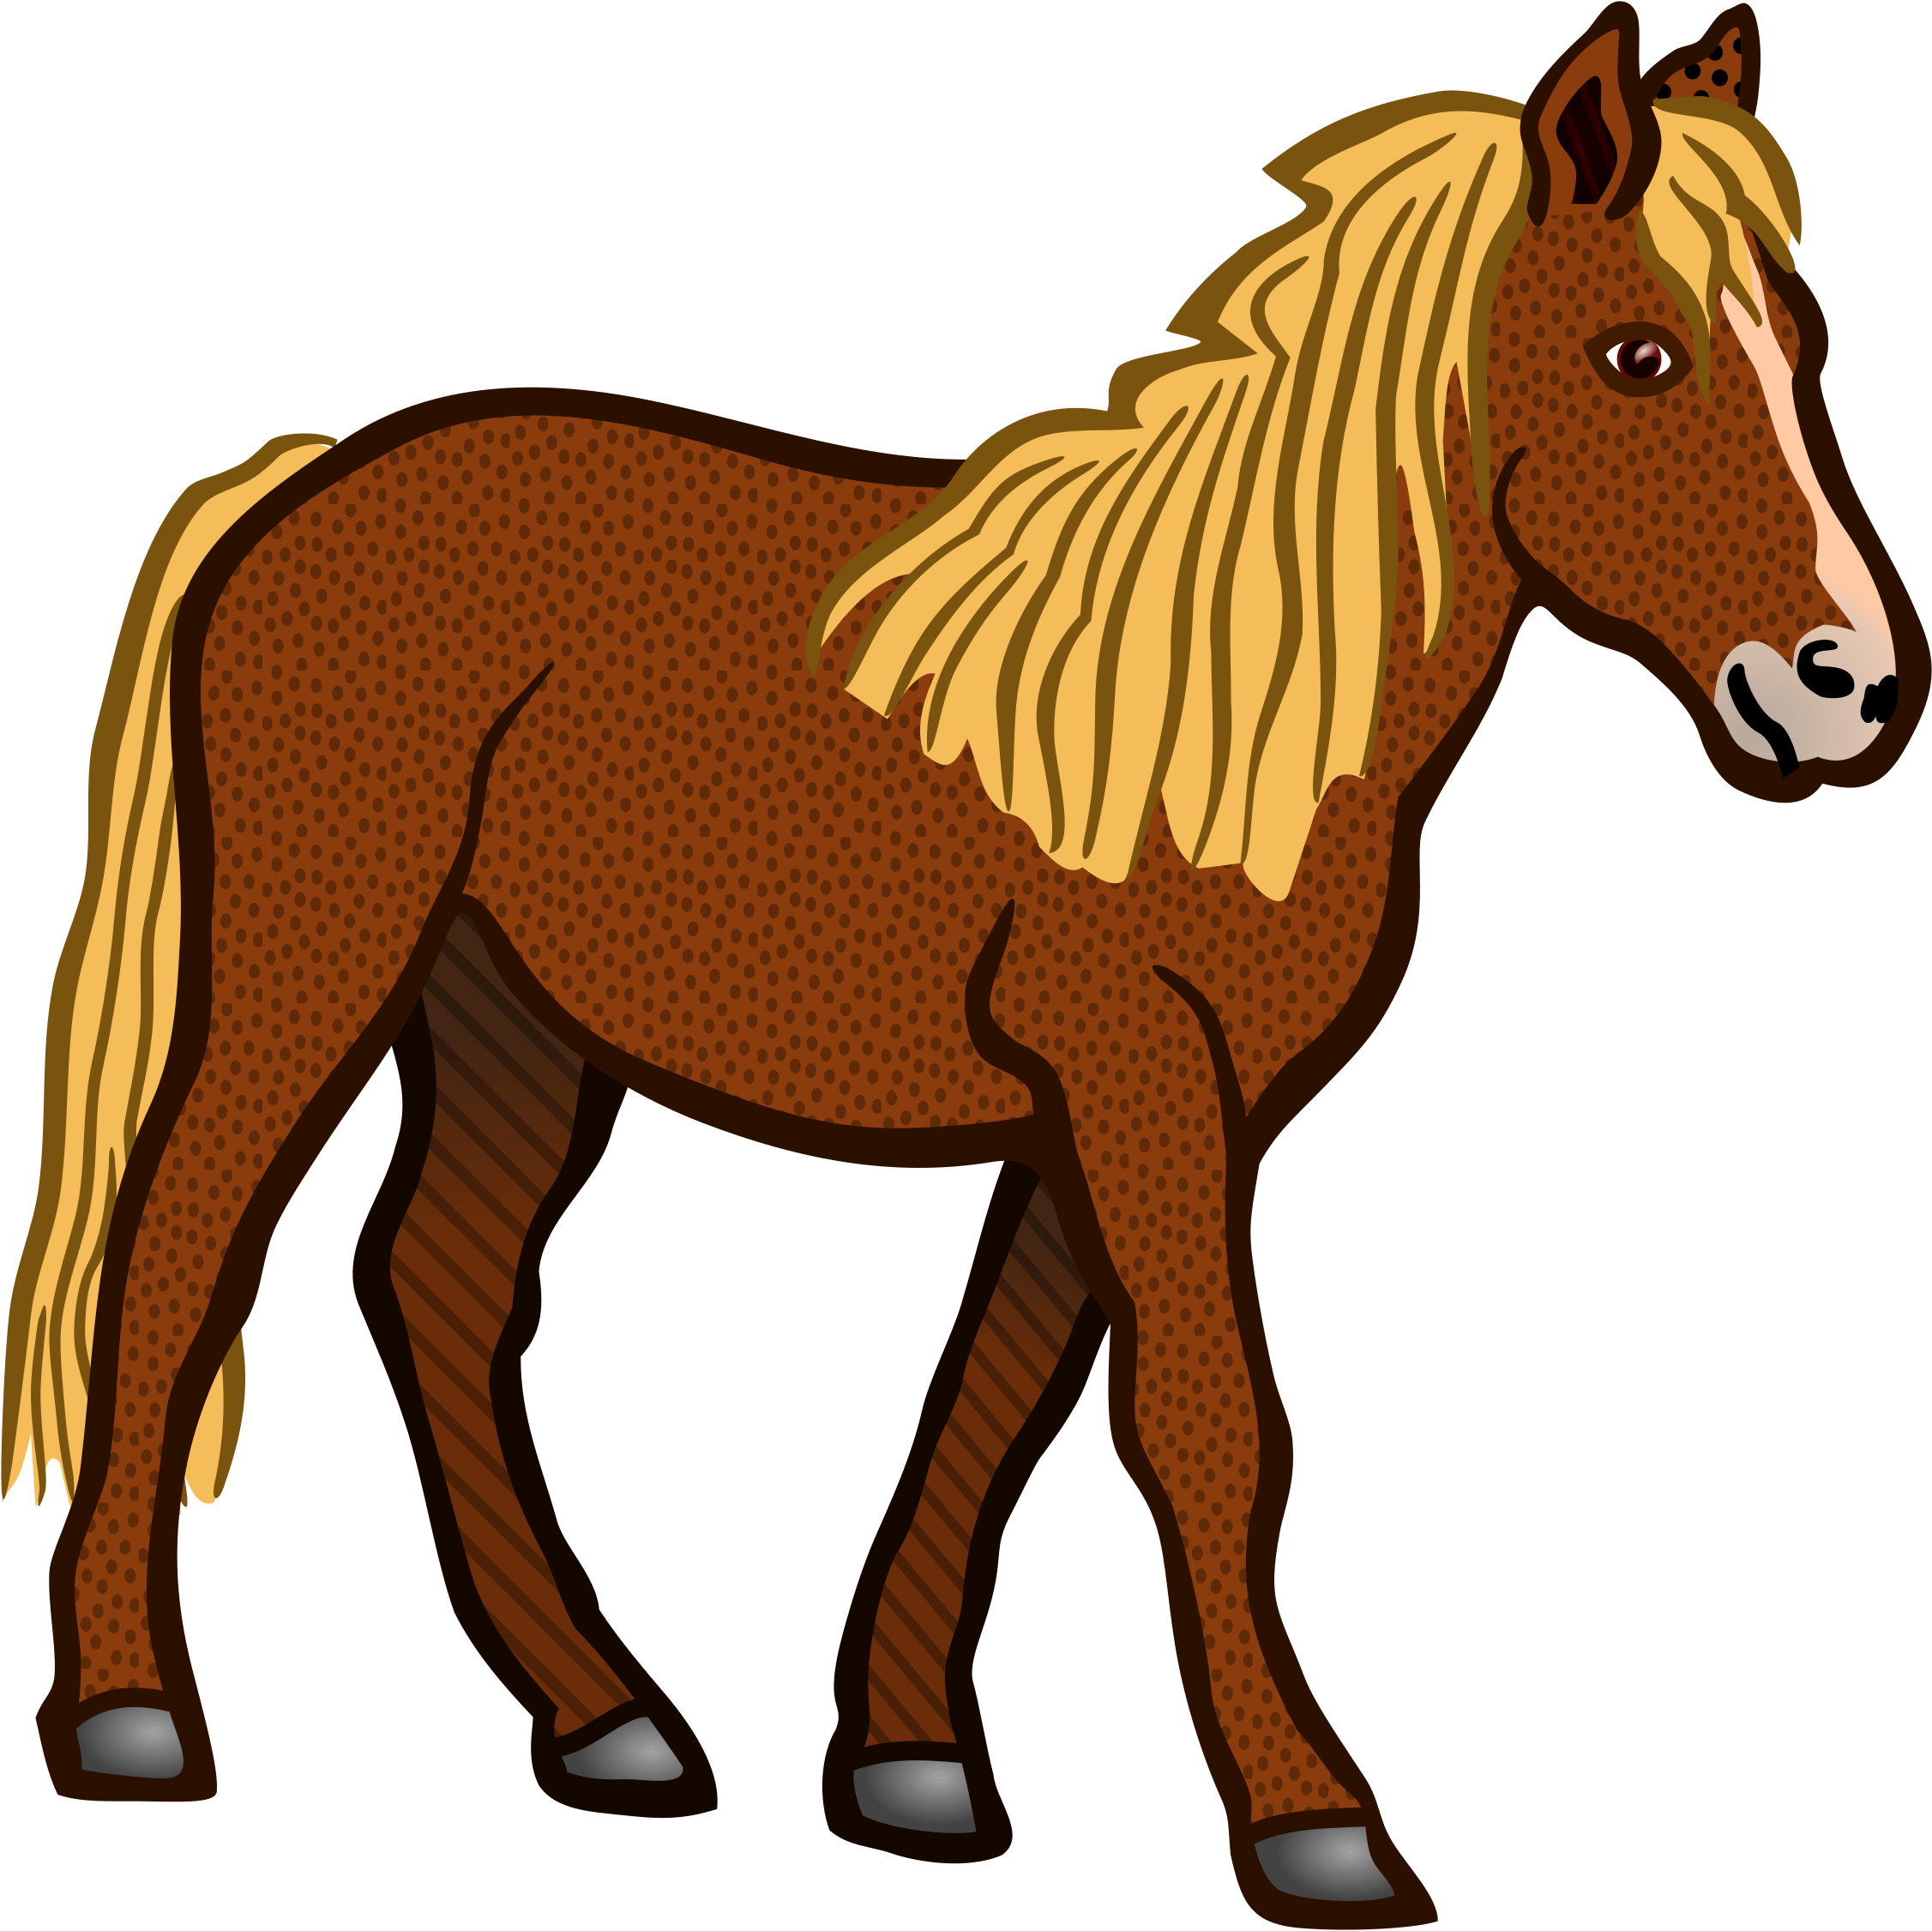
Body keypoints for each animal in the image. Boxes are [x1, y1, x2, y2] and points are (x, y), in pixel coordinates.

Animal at [5, 7, 1920, 1924]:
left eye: (1795, 344)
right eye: (1636, 354)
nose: (1844, 687)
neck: (1218, 698)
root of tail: (314, 475)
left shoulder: (1127, 1097)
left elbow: (1003, 1395)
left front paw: (911, 1759)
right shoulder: (1133, 1068)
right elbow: (1206, 1422)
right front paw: (1309, 1821)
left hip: (503, 1010)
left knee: (443, 1286)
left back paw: (606, 1719)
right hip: (317, 953)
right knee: (179, 1251)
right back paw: (129, 1714)